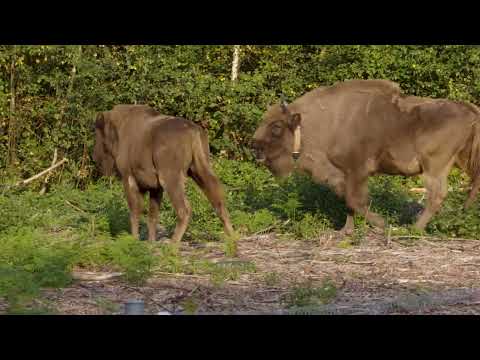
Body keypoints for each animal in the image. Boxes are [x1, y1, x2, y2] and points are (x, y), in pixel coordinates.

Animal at [92, 105, 234, 245]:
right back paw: (232, 236)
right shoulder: (155, 187)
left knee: (184, 208)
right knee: (217, 199)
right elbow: (152, 215)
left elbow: (135, 211)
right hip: (199, 168)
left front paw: (134, 239)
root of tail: (193, 132)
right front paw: (151, 241)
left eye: (98, 133)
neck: (118, 129)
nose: (95, 156)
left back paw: (173, 243)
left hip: (171, 177)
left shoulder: (129, 178)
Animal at [251, 79, 480, 233]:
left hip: (434, 166)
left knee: (436, 195)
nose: (254, 147)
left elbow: (355, 200)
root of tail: (467, 109)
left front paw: (382, 224)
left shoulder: (357, 171)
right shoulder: (343, 174)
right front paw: (346, 230)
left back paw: (414, 228)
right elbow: (347, 199)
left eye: (276, 127)